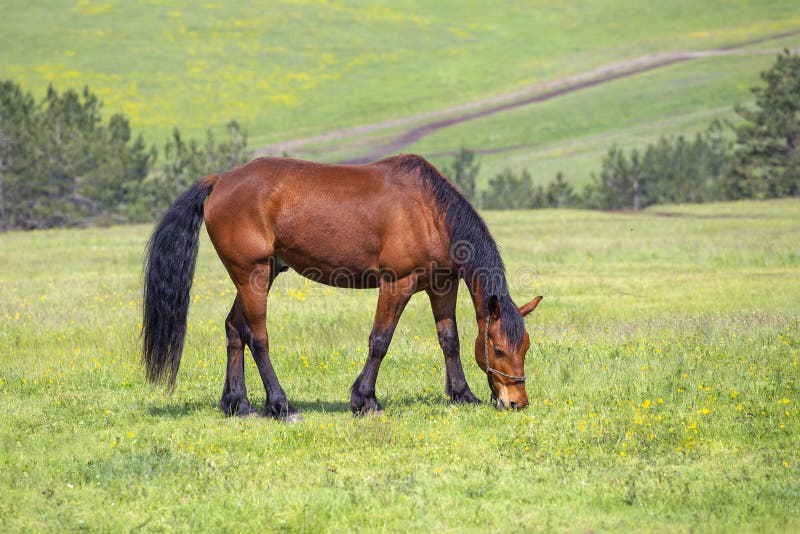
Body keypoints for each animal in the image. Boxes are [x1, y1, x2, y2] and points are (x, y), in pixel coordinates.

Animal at [144, 155, 544, 422]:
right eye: (498, 348)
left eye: (524, 346)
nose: (517, 401)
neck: (429, 211)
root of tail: (220, 180)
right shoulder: (396, 284)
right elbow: (380, 341)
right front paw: (365, 400)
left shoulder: (442, 285)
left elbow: (450, 341)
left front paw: (463, 395)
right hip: (252, 276)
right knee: (257, 337)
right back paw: (280, 405)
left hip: (260, 275)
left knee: (233, 329)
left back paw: (238, 404)